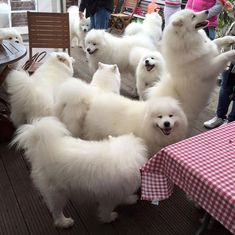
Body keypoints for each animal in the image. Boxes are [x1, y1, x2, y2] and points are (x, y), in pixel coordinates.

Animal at [11, 117, 148, 228]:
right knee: (56, 211)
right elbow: (106, 210)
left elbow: (124, 196)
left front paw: (129, 199)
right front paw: (109, 218)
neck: (122, 154)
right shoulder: (109, 197)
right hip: (58, 193)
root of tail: (41, 149)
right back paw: (64, 222)